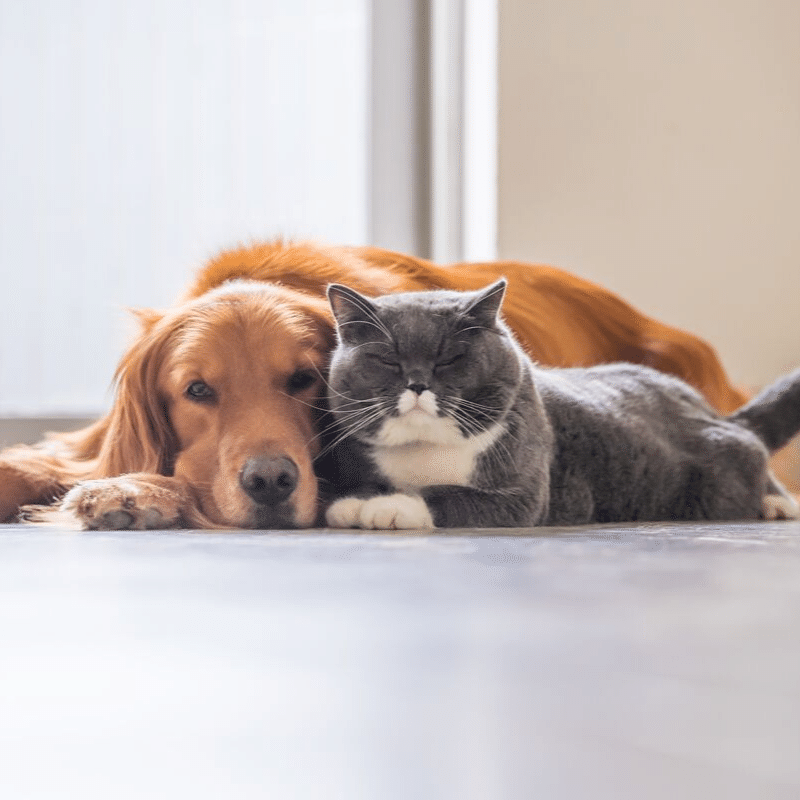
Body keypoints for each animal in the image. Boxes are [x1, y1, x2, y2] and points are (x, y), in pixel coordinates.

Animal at [320, 282, 800, 532]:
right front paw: (353, 503)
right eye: (388, 361)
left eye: (449, 358)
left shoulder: (523, 495)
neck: (425, 450)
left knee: (754, 454)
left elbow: (445, 495)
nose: (418, 383)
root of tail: (707, 409)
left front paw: (387, 508)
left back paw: (779, 505)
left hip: (721, 467)